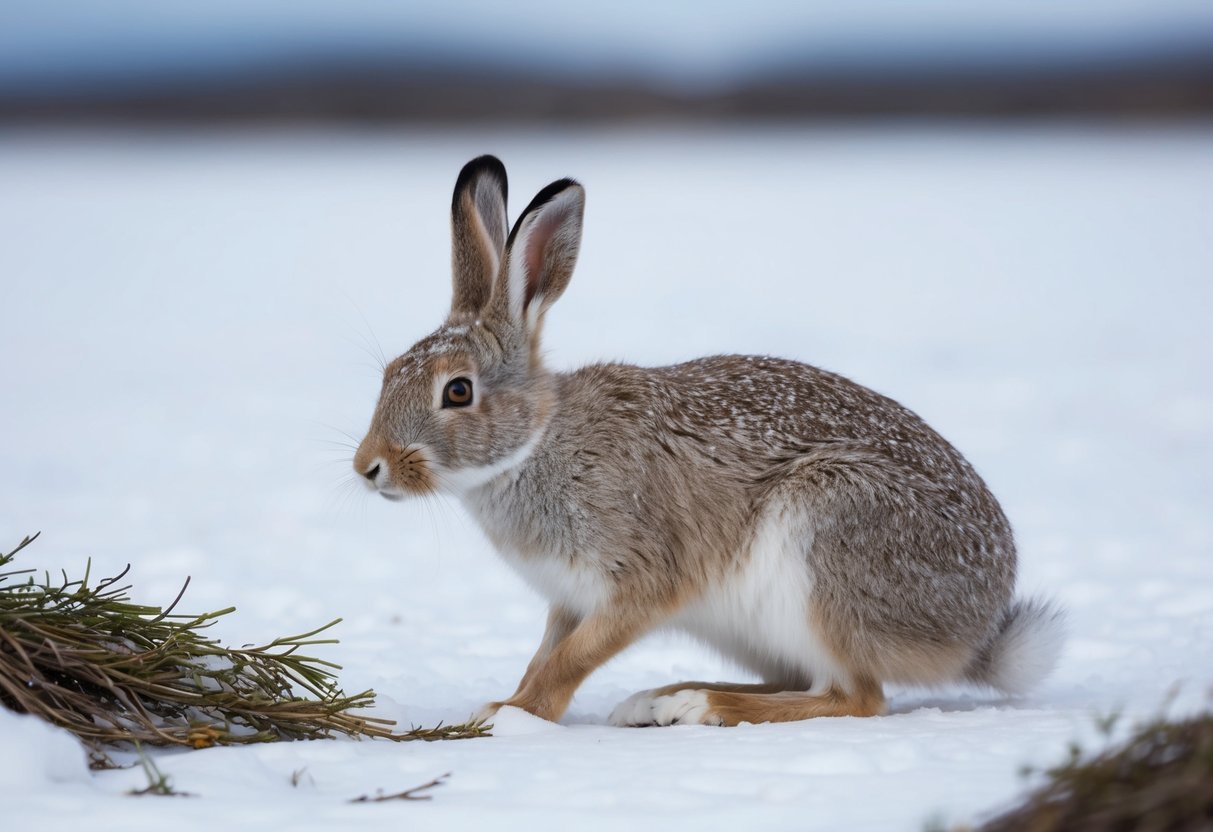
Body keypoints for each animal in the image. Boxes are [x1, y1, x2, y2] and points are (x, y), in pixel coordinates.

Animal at [353, 155, 1065, 727]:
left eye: (457, 392)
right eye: (389, 375)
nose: (369, 467)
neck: (534, 443)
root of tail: (978, 631)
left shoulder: (638, 579)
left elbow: (570, 661)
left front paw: (515, 718)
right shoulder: (569, 599)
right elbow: (544, 653)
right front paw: (505, 703)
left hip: (826, 544)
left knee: (857, 697)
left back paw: (699, 705)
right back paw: (662, 698)